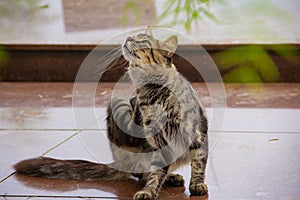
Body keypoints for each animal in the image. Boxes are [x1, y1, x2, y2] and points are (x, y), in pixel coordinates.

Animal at [14, 27, 209, 200]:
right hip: (118, 102)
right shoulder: (157, 143)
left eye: (143, 40)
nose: (128, 37)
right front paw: (149, 191)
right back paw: (169, 178)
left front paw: (198, 184)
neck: (154, 93)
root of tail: (119, 162)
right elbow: (155, 174)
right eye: (134, 36)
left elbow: (199, 164)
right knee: (142, 174)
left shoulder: (198, 132)